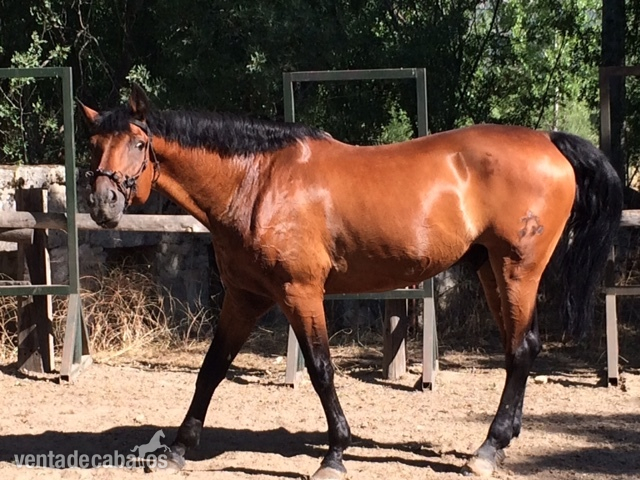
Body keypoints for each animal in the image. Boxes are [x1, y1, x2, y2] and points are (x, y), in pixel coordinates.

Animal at [80, 84, 622, 478]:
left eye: (140, 143)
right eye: (94, 145)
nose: (103, 204)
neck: (257, 182)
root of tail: (549, 140)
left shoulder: (300, 293)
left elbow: (321, 369)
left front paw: (335, 453)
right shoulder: (245, 296)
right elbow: (211, 368)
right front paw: (178, 447)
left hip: (516, 269)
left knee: (522, 349)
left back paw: (487, 449)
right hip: (491, 269)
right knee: (517, 349)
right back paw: (499, 443)